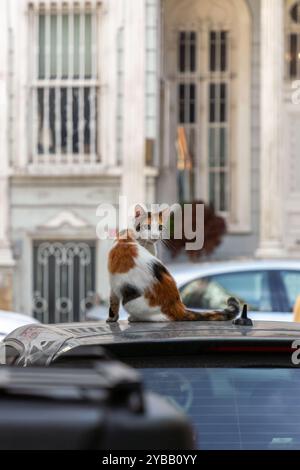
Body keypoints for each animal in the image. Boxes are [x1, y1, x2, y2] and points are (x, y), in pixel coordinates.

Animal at [106, 204, 238, 322]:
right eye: (147, 226)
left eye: (160, 228)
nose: (155, 235)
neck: (130, 235)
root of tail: (178, 307)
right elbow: (113, 300)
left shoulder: (113, 281)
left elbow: (113, 300)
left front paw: (112, 318)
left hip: (131, 302)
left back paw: (135, 318)